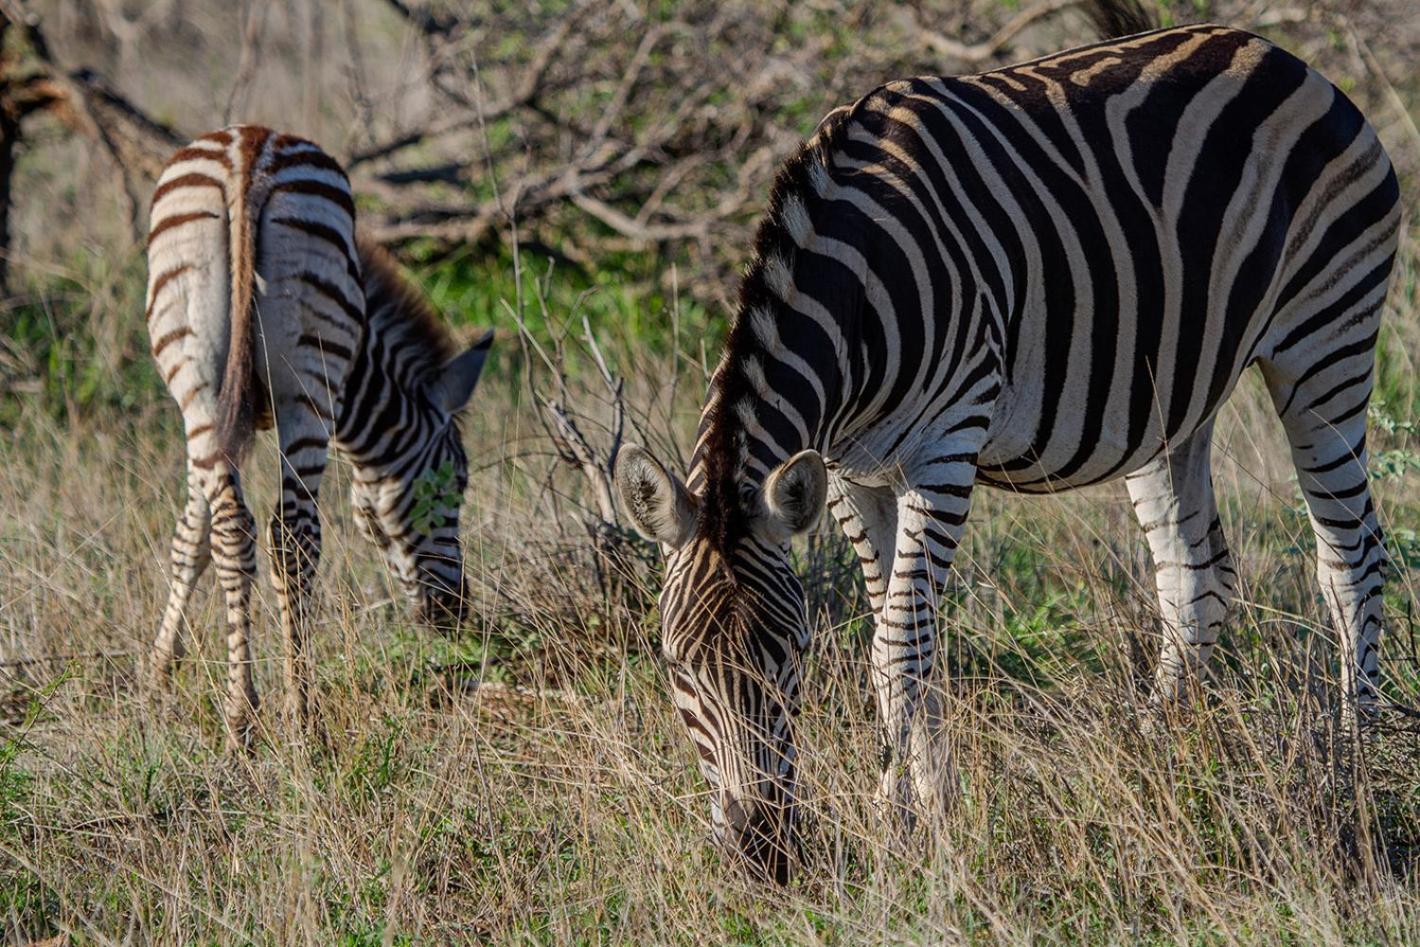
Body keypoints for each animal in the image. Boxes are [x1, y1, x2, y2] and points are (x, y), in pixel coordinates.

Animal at [146, 125, 494, 749]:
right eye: (454, 487)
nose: (455, 613)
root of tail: (247, 152)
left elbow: (193, 535)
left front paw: (160, 673)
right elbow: (197, 534)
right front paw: (163, 670)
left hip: (242, 377)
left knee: (263, 532)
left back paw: (260, 715)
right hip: (277, 377)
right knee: (281, 535)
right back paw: (284, 716)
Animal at [616, 7, 1402, 885]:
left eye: (790, 655)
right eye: (676, 665)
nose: (764, 853)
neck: (859, 283)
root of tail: (1281, 55)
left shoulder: (946, 444)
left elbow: (899, 646)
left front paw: (914, 828)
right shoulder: (852, 473)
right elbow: (901, 634)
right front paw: (916, 812)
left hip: (1324, 338)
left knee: (1351, 558)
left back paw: (1354, 767)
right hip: (1172, 397)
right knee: (1196, 577)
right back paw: (1163, 757)